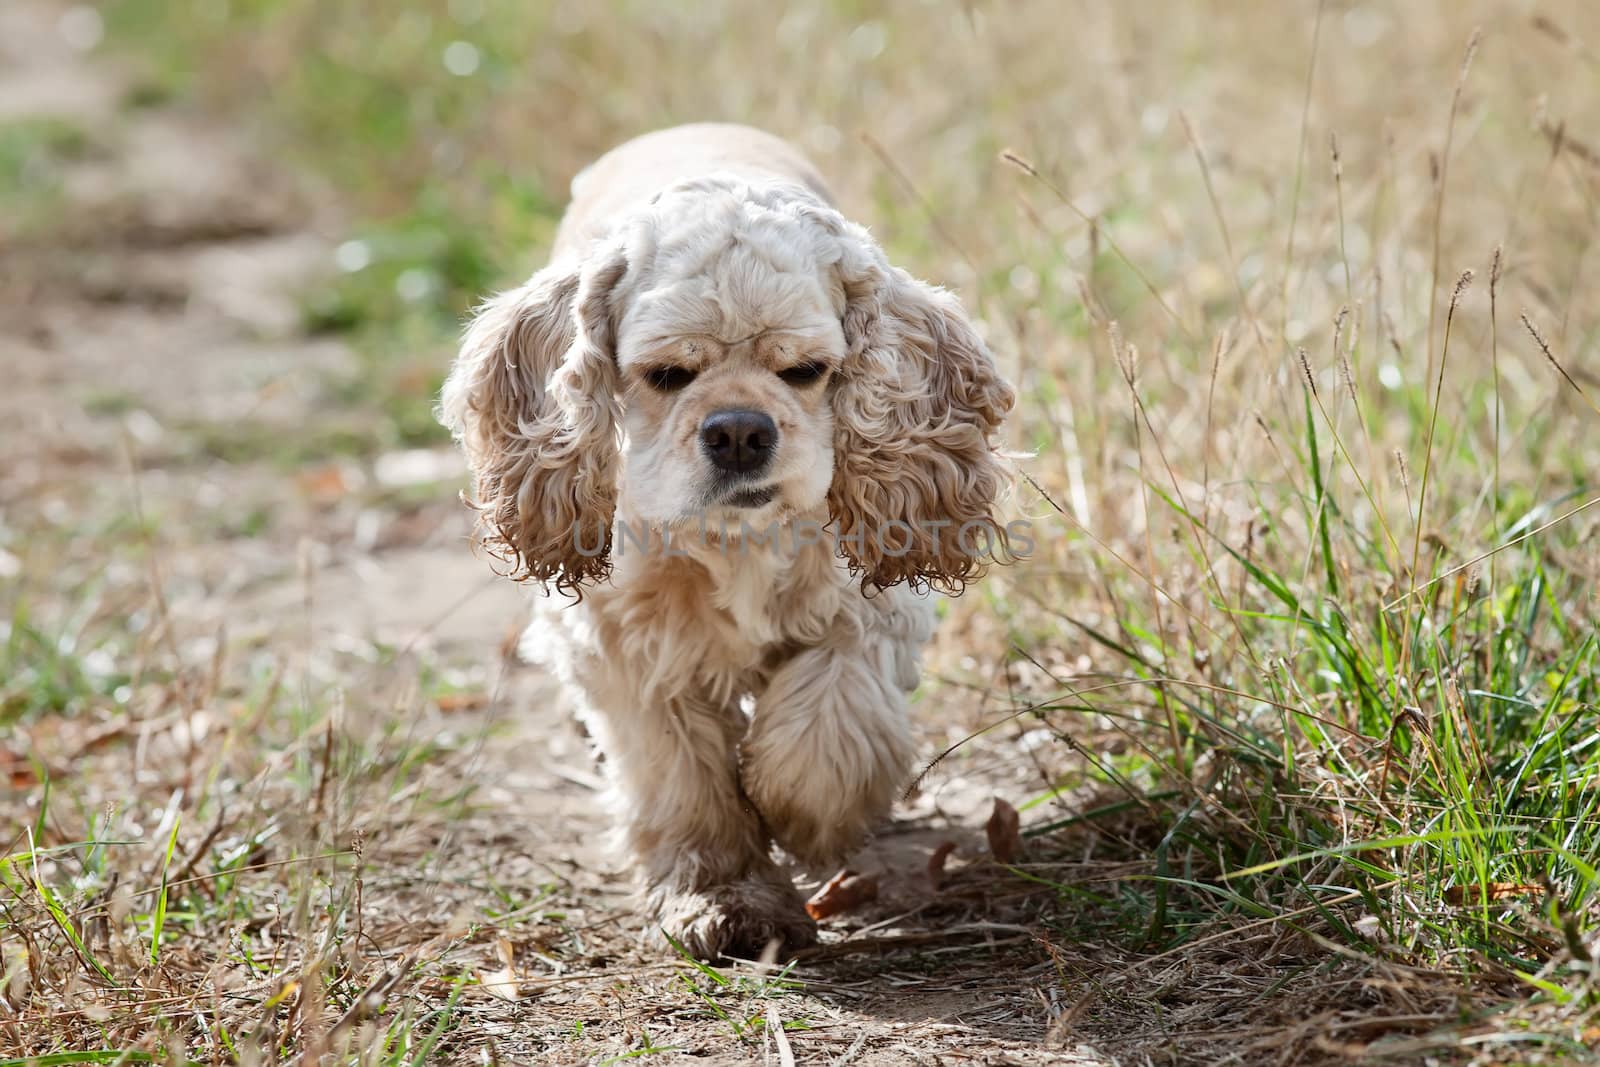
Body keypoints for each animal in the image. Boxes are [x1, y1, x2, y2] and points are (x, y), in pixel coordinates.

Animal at [438, 123, 1011, 959]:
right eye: (666, 374)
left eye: (806, 370)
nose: (740, 431)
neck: (734, 539)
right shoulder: (630, 647)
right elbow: (682, 780)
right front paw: (721, 897)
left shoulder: (866, 610)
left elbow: (825, 727)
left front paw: (800, 814)